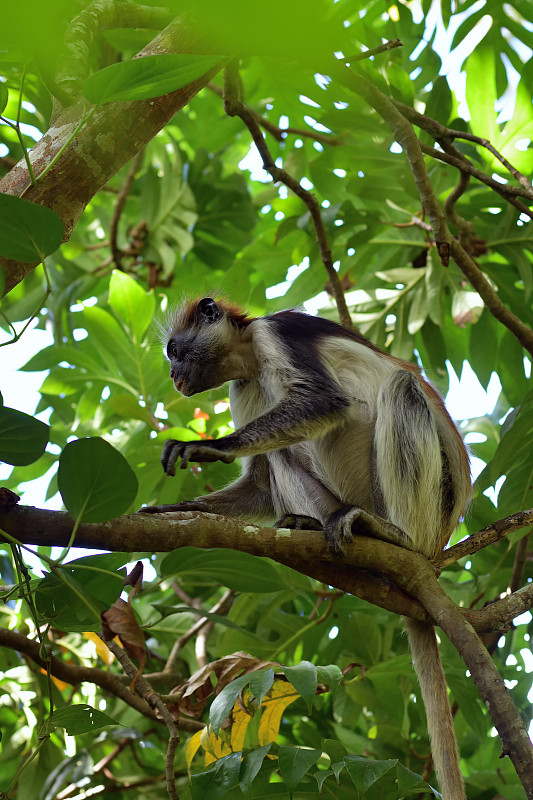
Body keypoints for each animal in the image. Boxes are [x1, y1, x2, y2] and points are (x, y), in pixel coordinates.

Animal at [140, 296, 470, 800]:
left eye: (175, 351)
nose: (175, 375)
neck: (249, 357)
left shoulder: (275, 334)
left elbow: (324, 401)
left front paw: (214, 445)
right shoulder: (243, 384)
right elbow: (260, 481)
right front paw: (173, 509)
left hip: (433, 503)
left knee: (401, 386)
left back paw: (395, 535)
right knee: (283, 453)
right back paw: (310, 526)